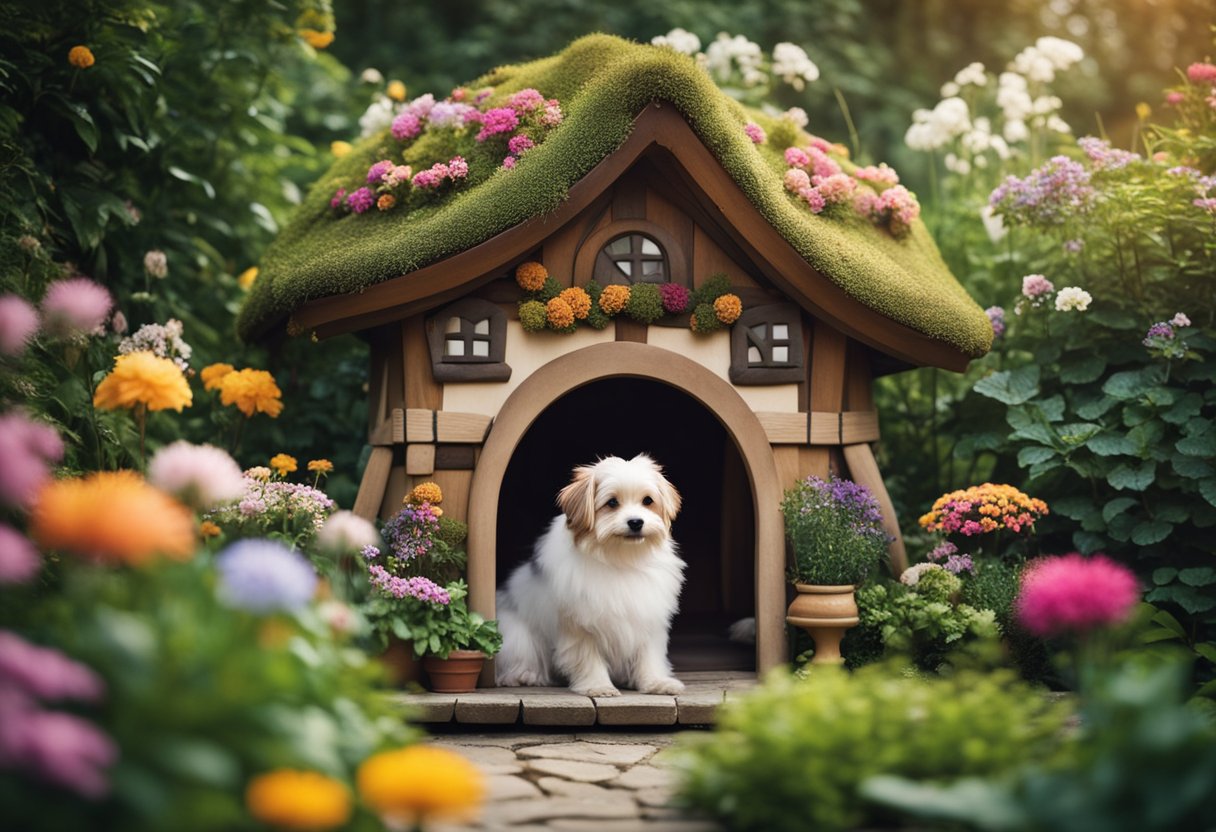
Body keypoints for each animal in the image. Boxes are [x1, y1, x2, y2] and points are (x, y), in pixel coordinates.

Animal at [493, 454, 685, 695]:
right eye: (612, 502)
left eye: (647, 501)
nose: (636, 522)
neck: (621, 557)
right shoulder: (579, 626)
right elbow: (588, 657)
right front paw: (598, 686)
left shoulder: (647, 618)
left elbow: (649, 655)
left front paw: (656, 682)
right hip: (517, 636)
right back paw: (525, 675)